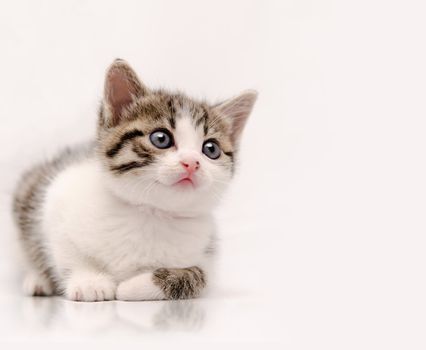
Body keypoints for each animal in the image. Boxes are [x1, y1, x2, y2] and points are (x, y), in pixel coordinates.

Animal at [13, 59, 258, 300]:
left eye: (211, 149)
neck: (150, 213)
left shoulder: (208, 253)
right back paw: (38, 280)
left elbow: (199, 276)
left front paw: (132, 286)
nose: (191, 162)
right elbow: (67, 249)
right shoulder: (56, 197)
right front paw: (90, 282)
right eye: (161, 138)